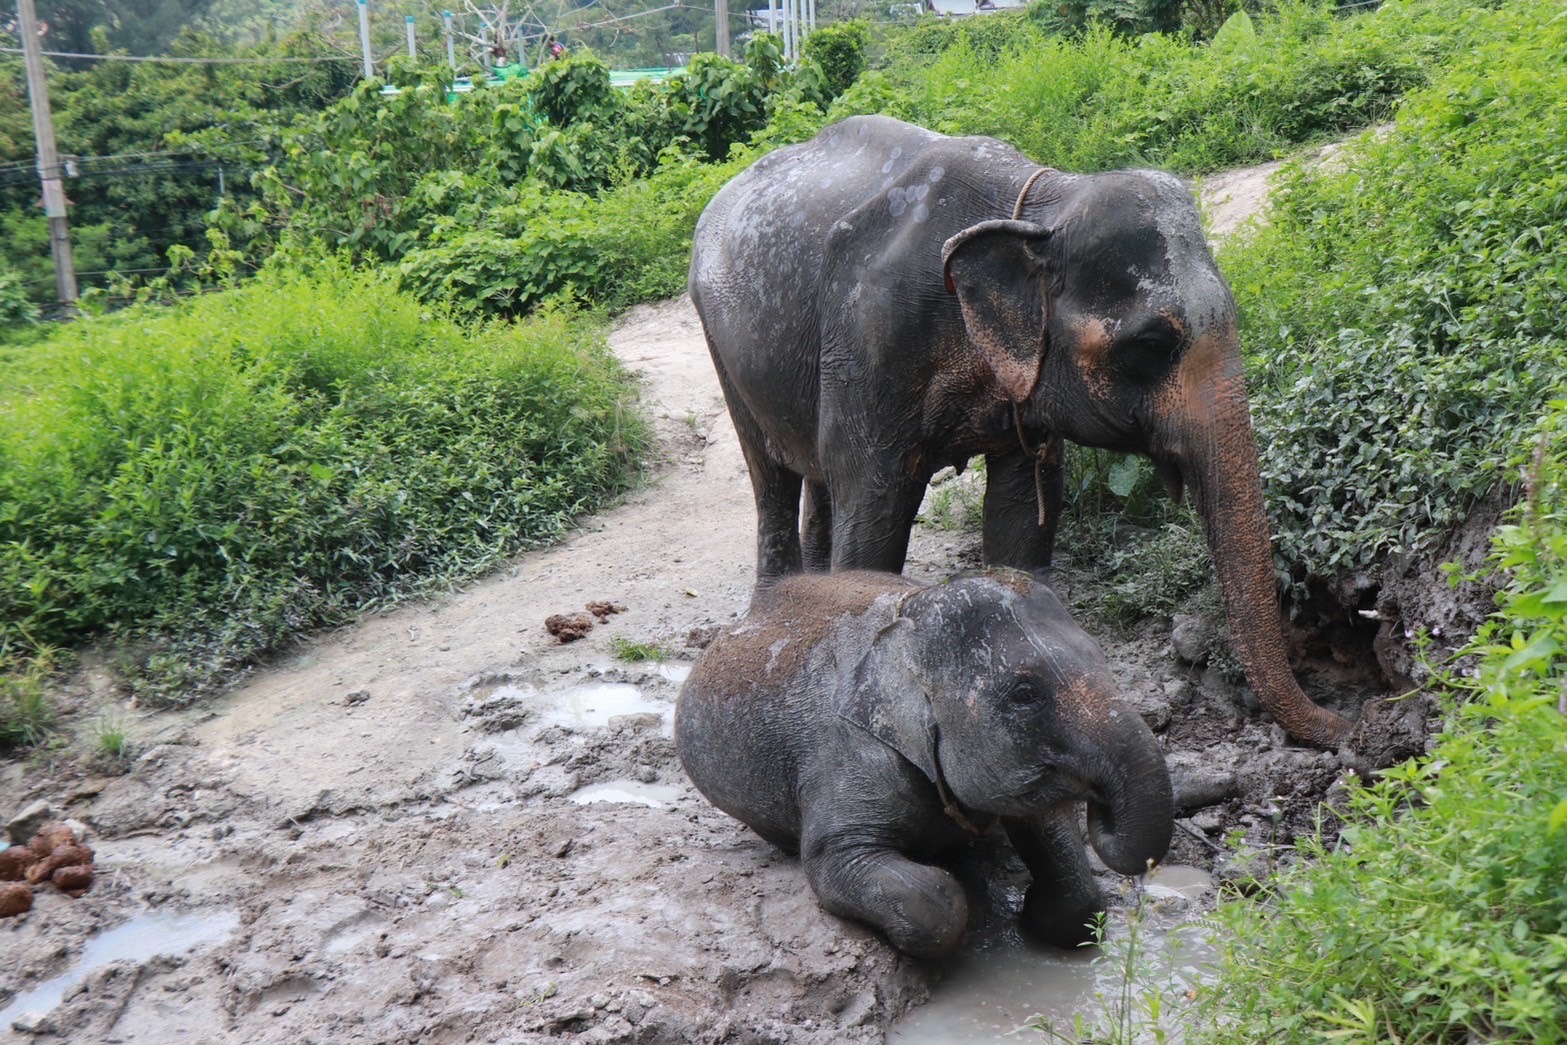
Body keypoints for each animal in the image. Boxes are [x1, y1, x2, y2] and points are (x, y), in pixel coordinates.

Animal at [674, 569, 1174, 959]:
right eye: (1025, 694)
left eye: (1103, 658)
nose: (1102, 804)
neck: (903, 633)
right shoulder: (847, 754)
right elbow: (846, 864)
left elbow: (1065, 867)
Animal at [688, 114, 1349, 747]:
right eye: (1152, 344)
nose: (1352, 723)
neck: (1040, 207)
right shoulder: (870, 340)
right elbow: (873, 516)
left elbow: (1021, 511)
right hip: (719, 339)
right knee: (771, 478)